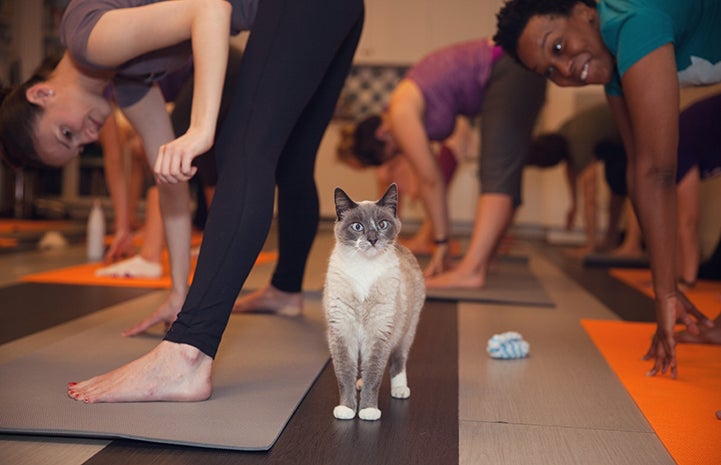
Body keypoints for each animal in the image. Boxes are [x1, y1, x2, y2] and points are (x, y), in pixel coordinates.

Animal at [320, 182, 422, 420]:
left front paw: (368, 410)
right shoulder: (342, 333)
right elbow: (345, 376)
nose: (373, 239)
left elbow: (374, 376)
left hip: (406, 331)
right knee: (361, 370)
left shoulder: (379, 332)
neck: (364, 269)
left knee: (397, 361)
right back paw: (359, 384)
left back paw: (400, 390)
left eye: (382, 224)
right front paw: (347, 409)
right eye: (357, 227)